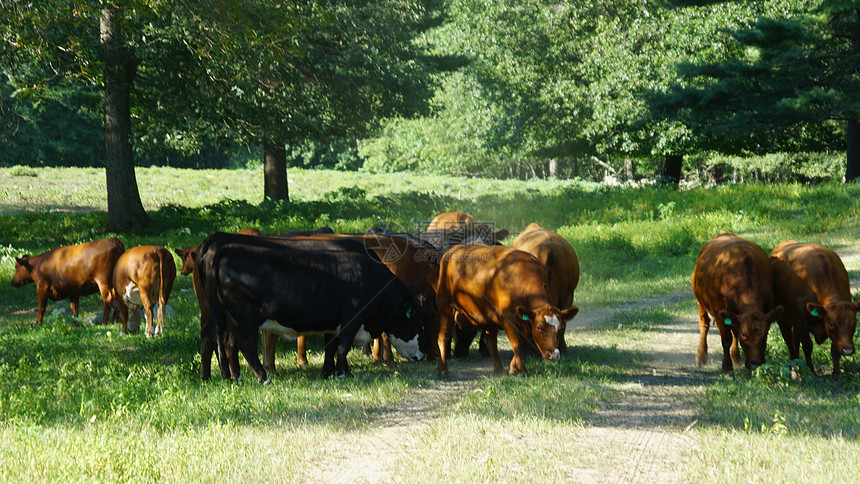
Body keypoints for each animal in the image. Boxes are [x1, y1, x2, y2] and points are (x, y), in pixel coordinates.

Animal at [436, 244, 576, 376]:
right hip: (444, 305)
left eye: (561, 328)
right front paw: (520, 371)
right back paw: (443, 370)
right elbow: (517, 344)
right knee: (442, 337)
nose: (554, 355)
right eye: (538, 327)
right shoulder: (507, 318)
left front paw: (514, 367)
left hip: (487, 317)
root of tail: (454, 249)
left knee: (490, 342)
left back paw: (499, 369)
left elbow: (521, 344)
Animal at [688, 233, 784, 370]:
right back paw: (701, 356)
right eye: (744, 335)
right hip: (700, 302)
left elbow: (735, 335)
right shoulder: (718, 312)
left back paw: (736, 358)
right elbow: (726, 339)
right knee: (704, 324)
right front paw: (726, 366)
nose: (755, 364)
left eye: (765, 333)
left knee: (733, 331)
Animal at [768, 240, 856, 376]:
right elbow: (807, 347)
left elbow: (834, 349)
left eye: (855, 322)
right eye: (831, 323)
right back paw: (794, 368)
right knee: (790, 343)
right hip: (783, 321)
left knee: (795, 342)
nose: (848, 350)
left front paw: (836, 374)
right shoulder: (801, 324)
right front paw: (811, 371)